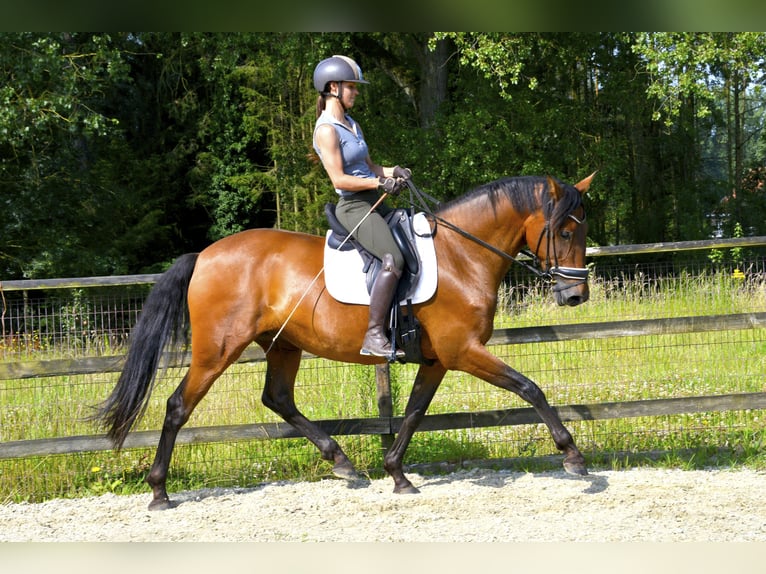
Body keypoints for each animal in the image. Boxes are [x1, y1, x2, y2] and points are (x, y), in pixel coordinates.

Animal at [96, 173, 596, 510]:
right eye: (566, 231)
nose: (575, 296)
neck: (462, 255)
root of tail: (204, 255)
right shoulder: (464, 352)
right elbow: (530, 388)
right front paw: (572, 455)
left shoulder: (437, 360)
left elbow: (413, 412)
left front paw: (397, 475)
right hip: (217, 349)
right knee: (178, 406)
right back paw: (159, 491)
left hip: (283, 344)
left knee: (278, 399)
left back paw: (342, 462)